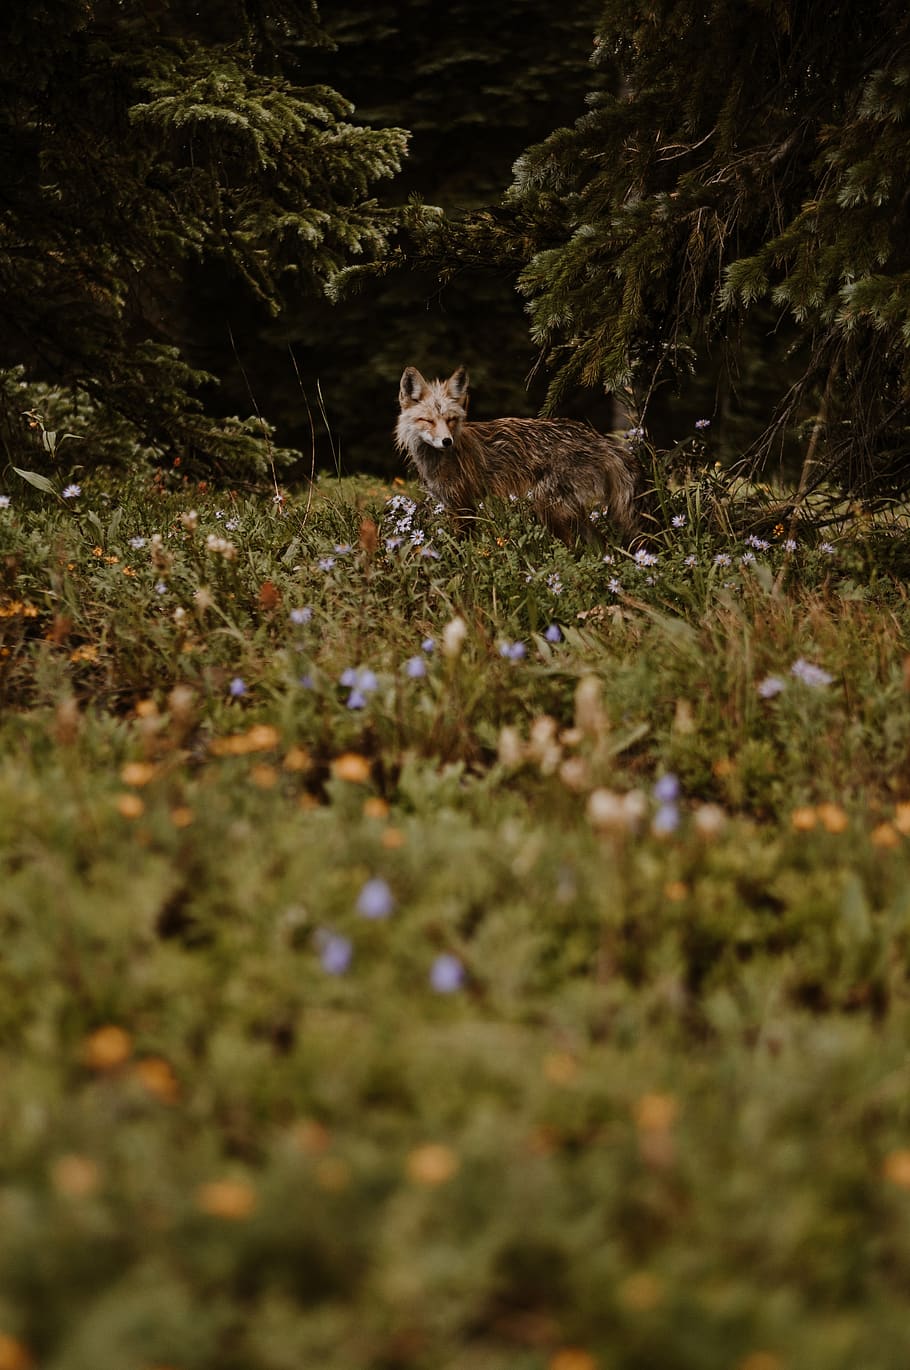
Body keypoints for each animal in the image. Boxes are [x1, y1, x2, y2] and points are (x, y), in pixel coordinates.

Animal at [395, 365, 643, 546]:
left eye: (451, 420)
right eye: (428, 421)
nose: (447, 442)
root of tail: (598, 438)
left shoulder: (464, 506)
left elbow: (463, 550)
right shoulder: (454, 504)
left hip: (548, 507)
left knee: (576, 549)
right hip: (569, 512)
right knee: (601, 546)